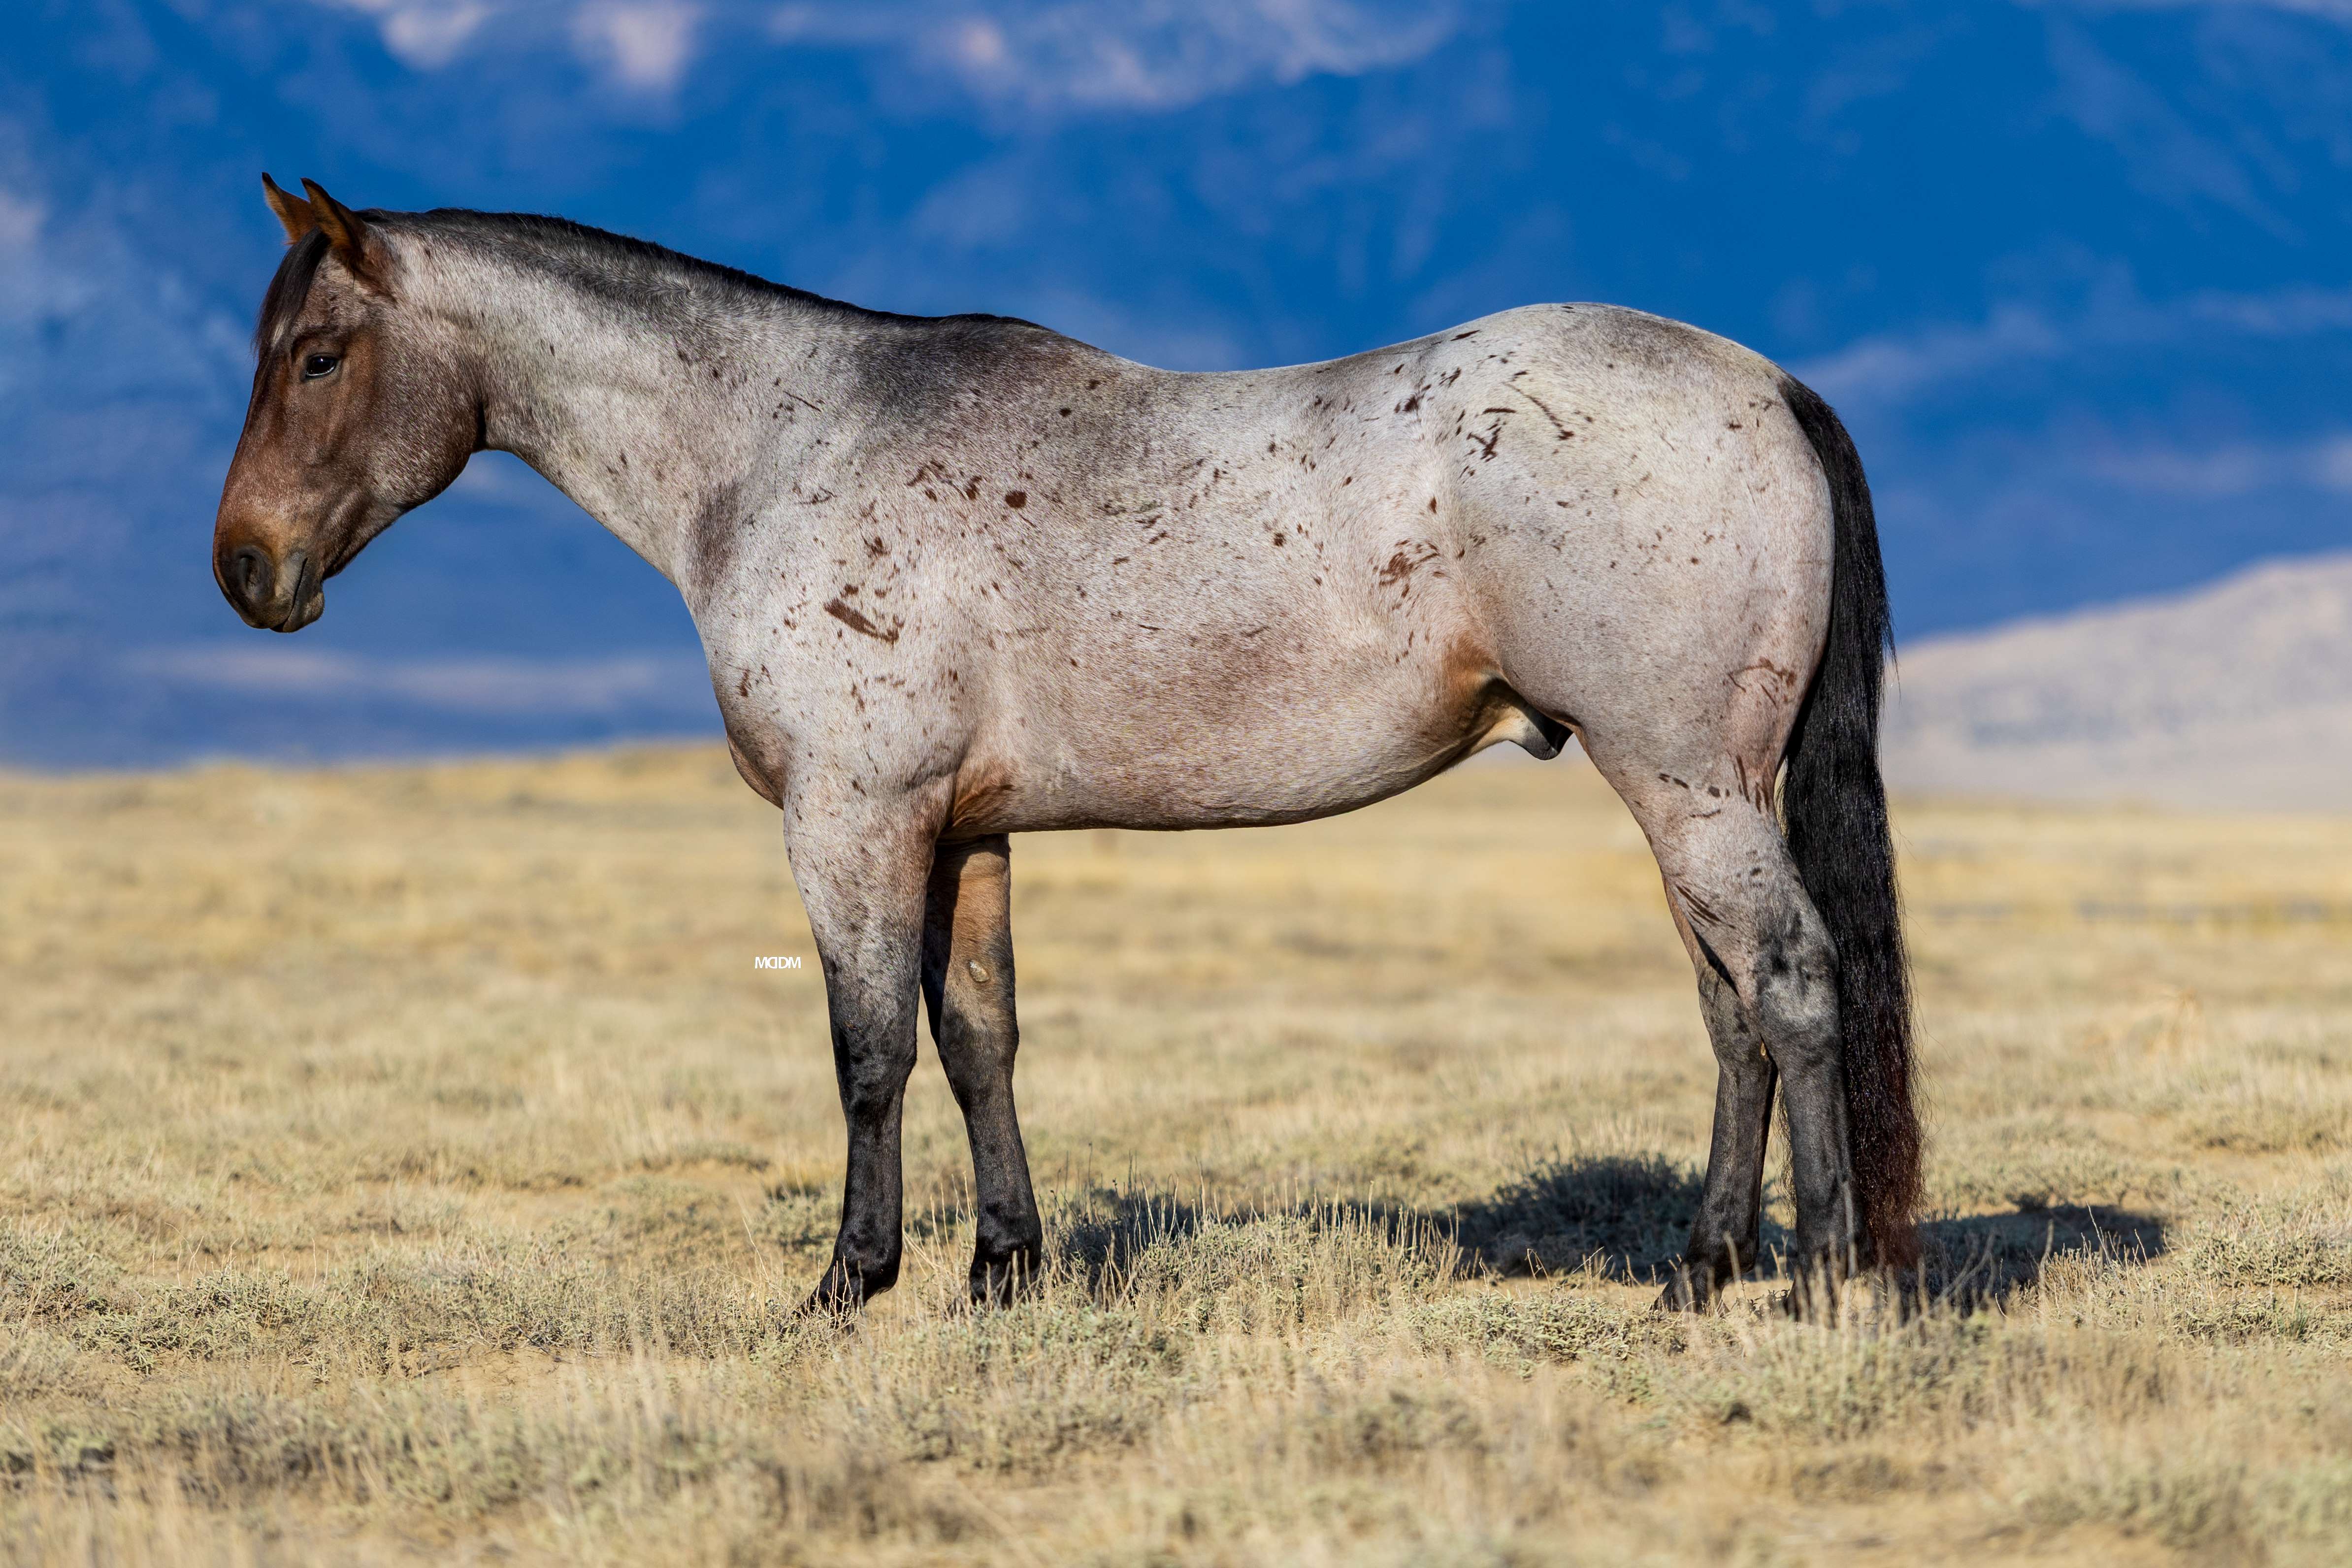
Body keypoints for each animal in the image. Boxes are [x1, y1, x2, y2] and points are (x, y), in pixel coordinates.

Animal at [214, 177, 1919, 1314]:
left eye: (317, 356)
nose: (244, 571)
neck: (780, 442)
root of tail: (1768, 384)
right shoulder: (964, 829)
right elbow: (978, 1035)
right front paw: (1002, 1267)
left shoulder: (853, 818)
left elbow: (866, 1049)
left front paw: (852, 1279)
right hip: (1687, 792)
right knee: (1730, 1013)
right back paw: (1701, 1267)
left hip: (1687, 784)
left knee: (1786, 983)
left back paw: (1827, 1278)